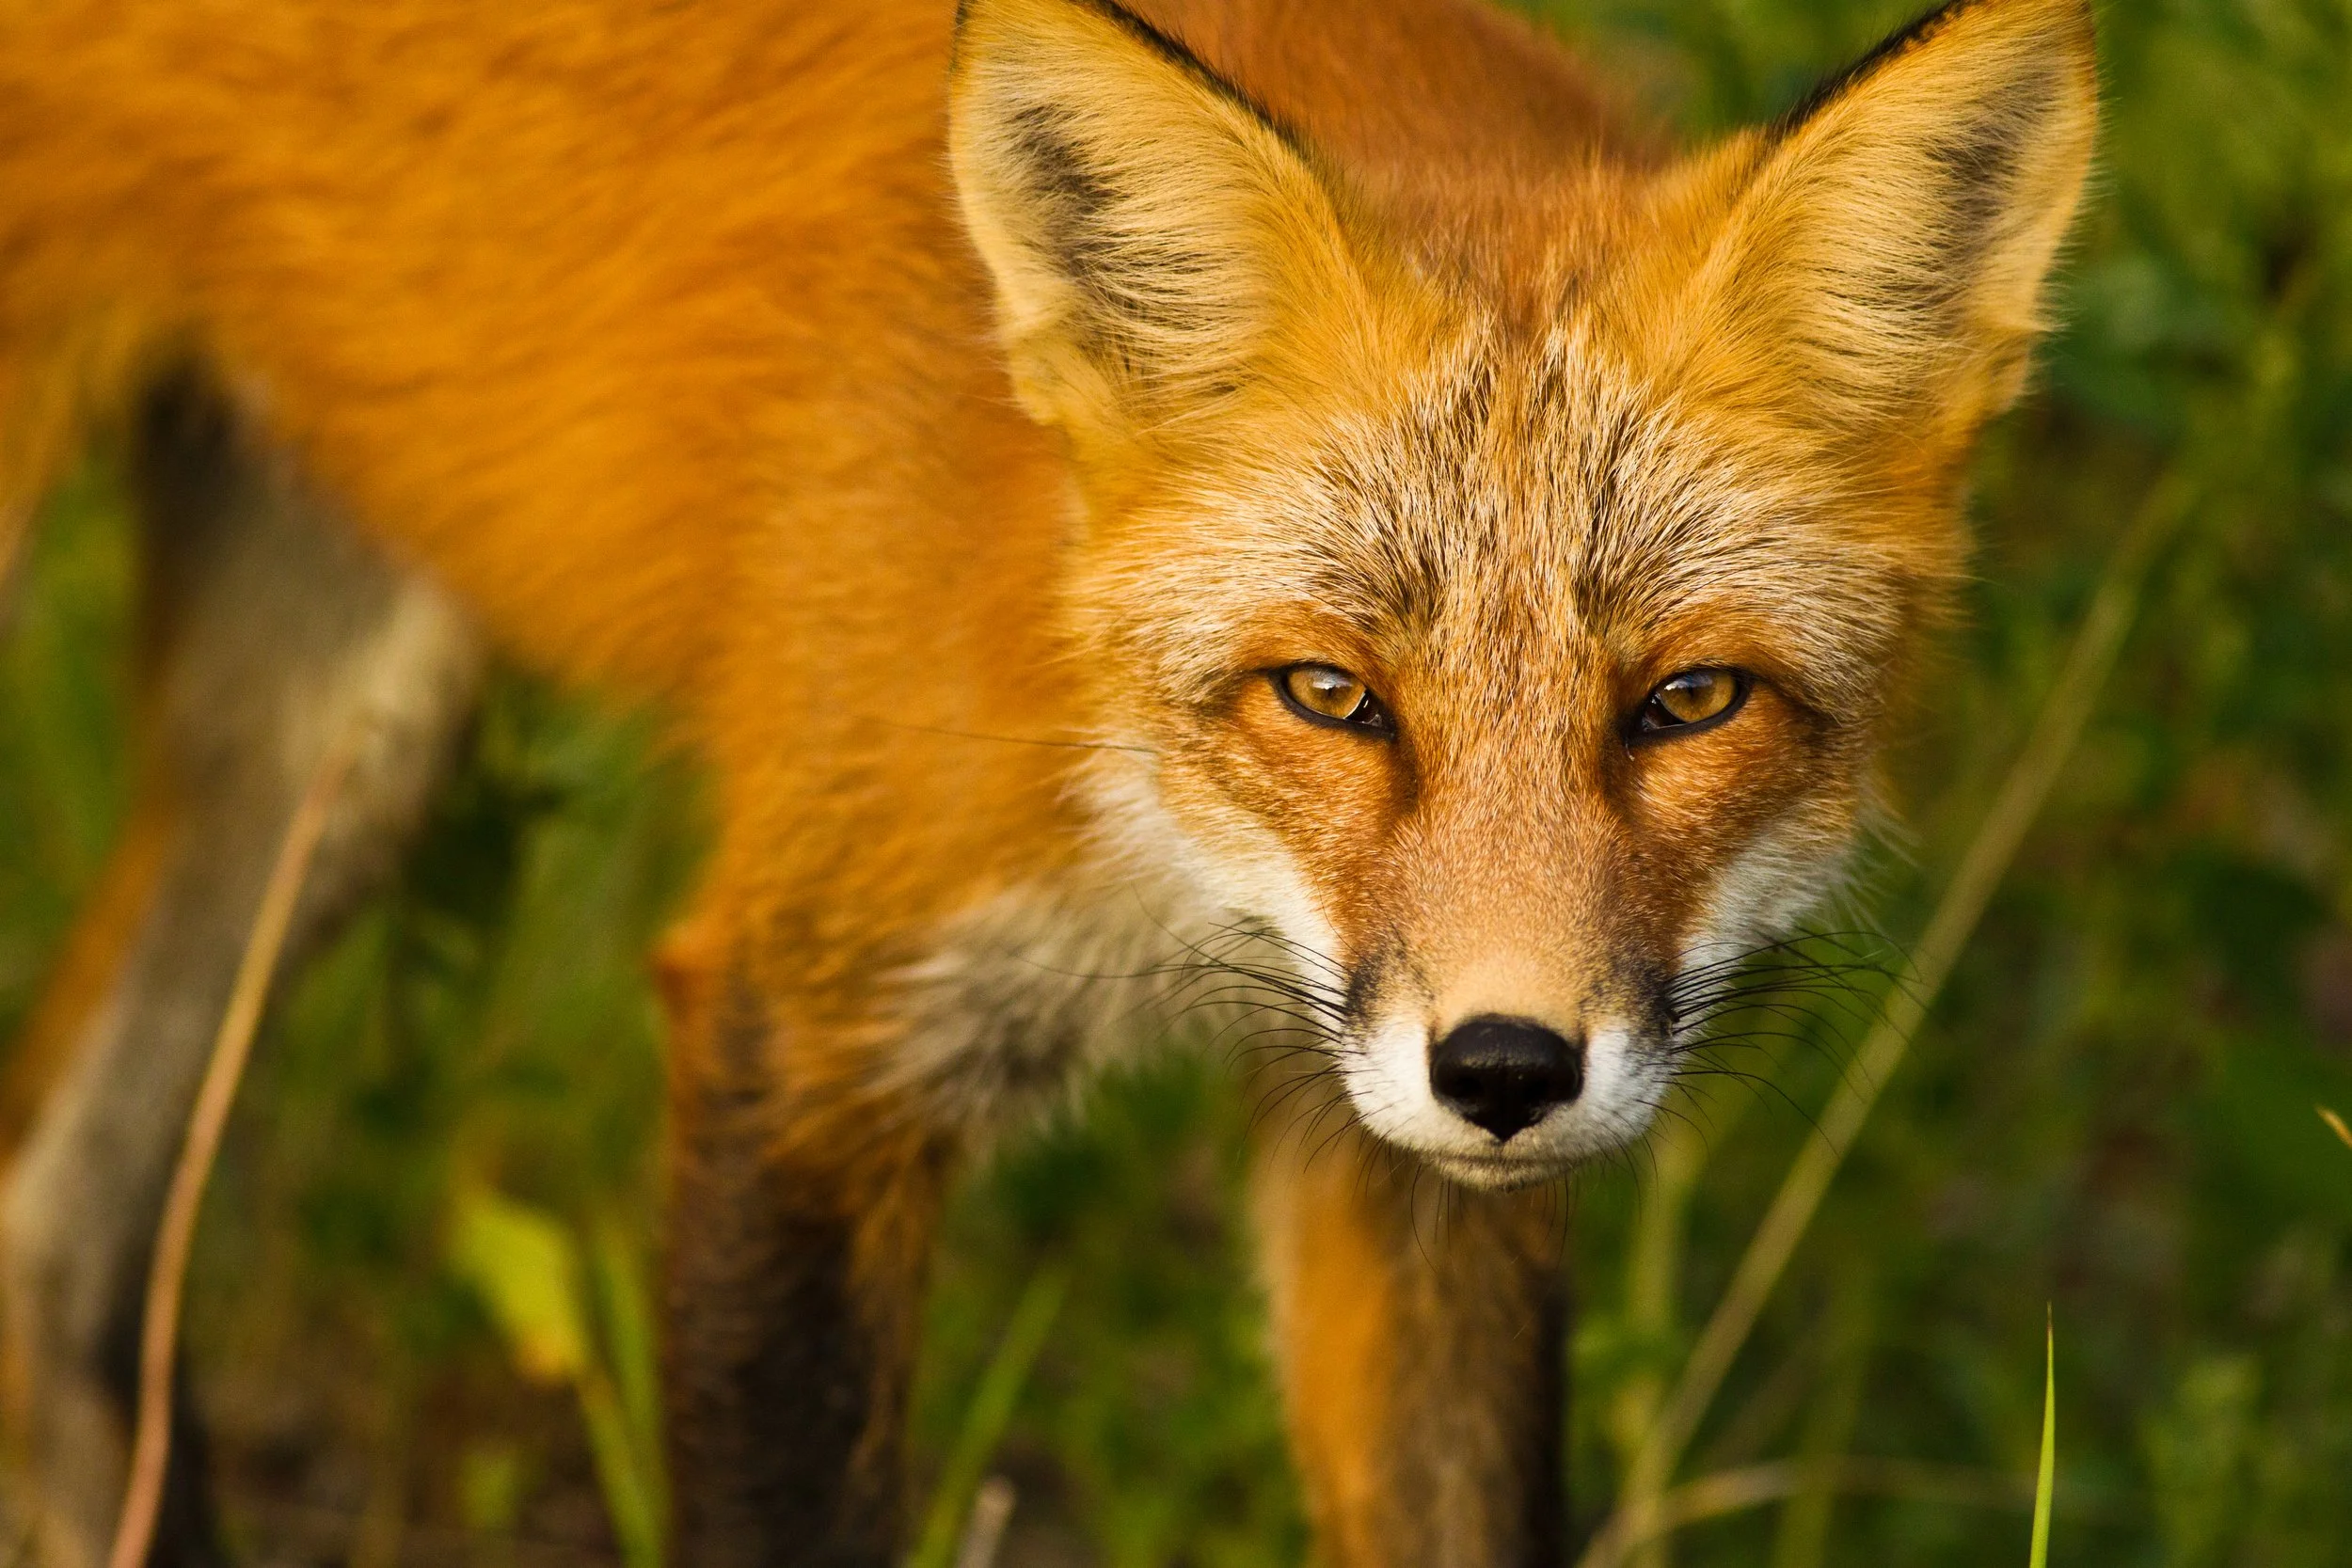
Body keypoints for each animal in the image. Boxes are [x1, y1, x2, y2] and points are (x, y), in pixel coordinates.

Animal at [0, 0, 2096, 1560]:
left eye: (1686, 701)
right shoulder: (807, 1024)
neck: (1149, 842)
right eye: (1329, 693)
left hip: (339, 735)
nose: (1506, 1066)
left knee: (58, 1249)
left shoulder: (1396, 1153)